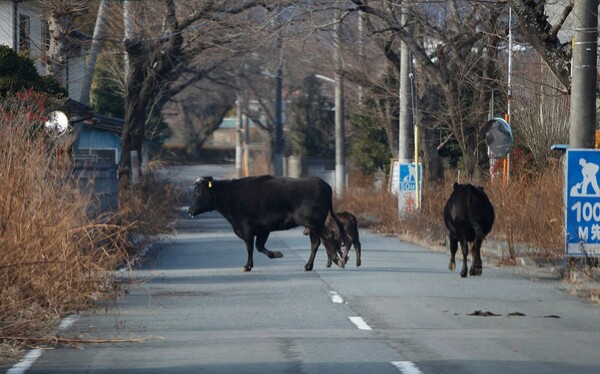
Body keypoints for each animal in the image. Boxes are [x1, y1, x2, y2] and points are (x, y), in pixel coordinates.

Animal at [186, 175, 346, 272]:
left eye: (197, 191)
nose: (189, 210)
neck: (229, 195)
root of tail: (320, 182)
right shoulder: (263, 229)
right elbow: (259, 247)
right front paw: (276, 254)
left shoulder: (246, 227)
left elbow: (250, 247)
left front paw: (247, 266)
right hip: (313, 225)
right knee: (316, 243)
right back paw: (308, 266)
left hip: (314, 222)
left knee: (329, 236)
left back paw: (337, 259)